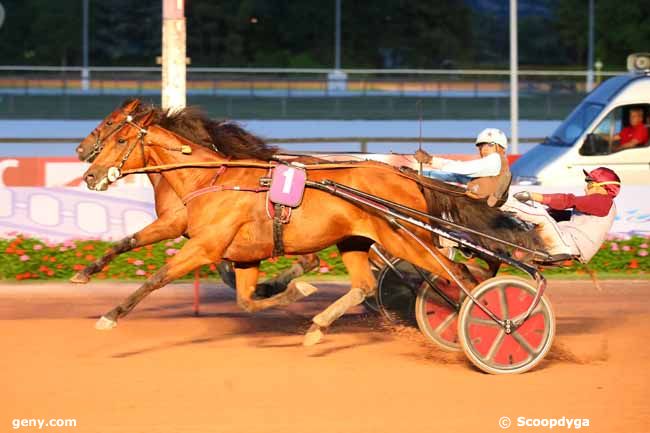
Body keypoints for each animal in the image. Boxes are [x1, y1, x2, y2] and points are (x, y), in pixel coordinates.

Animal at [73, 98, 318, 294]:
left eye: (111, 123)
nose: (80, 149)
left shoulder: (175, 223)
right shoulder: (206, 234)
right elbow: (127, 241)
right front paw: (84, 273)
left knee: (310, 259)